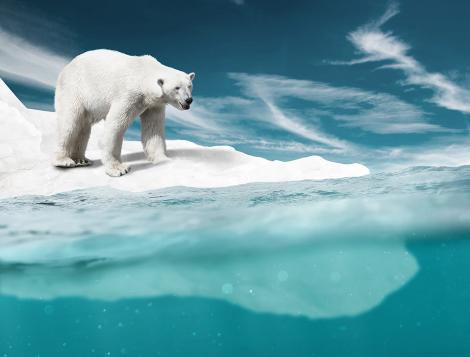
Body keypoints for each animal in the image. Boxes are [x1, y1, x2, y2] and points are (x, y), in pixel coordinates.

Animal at [53, 49, 195, 177]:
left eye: (189, 85)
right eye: (177, 87)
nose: (189, 100)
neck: (143, 73)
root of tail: (66, 67)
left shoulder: (153, 105)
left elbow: (153, 129)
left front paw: (164, 160)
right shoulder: (128, 94)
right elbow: (115, 125)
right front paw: (118, 169)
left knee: (83, 127)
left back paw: (81, 159)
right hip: (74, 89)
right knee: (70, 121)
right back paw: (64, 160)